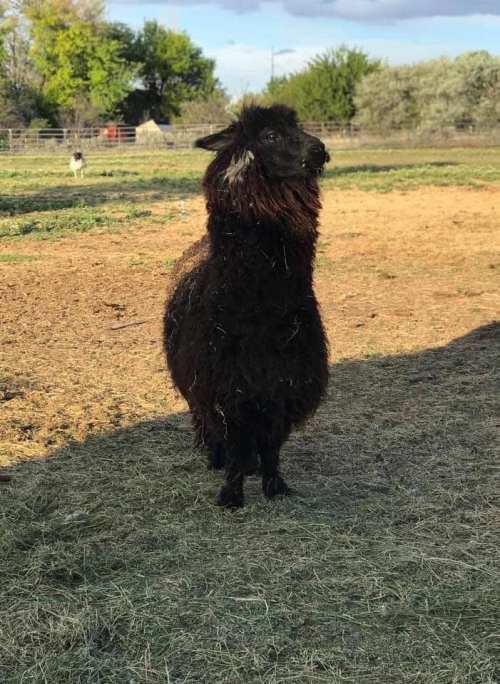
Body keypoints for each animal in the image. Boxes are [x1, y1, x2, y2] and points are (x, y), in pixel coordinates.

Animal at [164, 104, 330, 508]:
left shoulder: (283, 390)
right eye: (269, 135)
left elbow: (271, 448)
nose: (319, 150)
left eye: (297, 126)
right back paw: (214, 458)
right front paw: (231, 496)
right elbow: (236, 445)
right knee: (208, 428)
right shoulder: (225, 391)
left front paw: (275, 487)